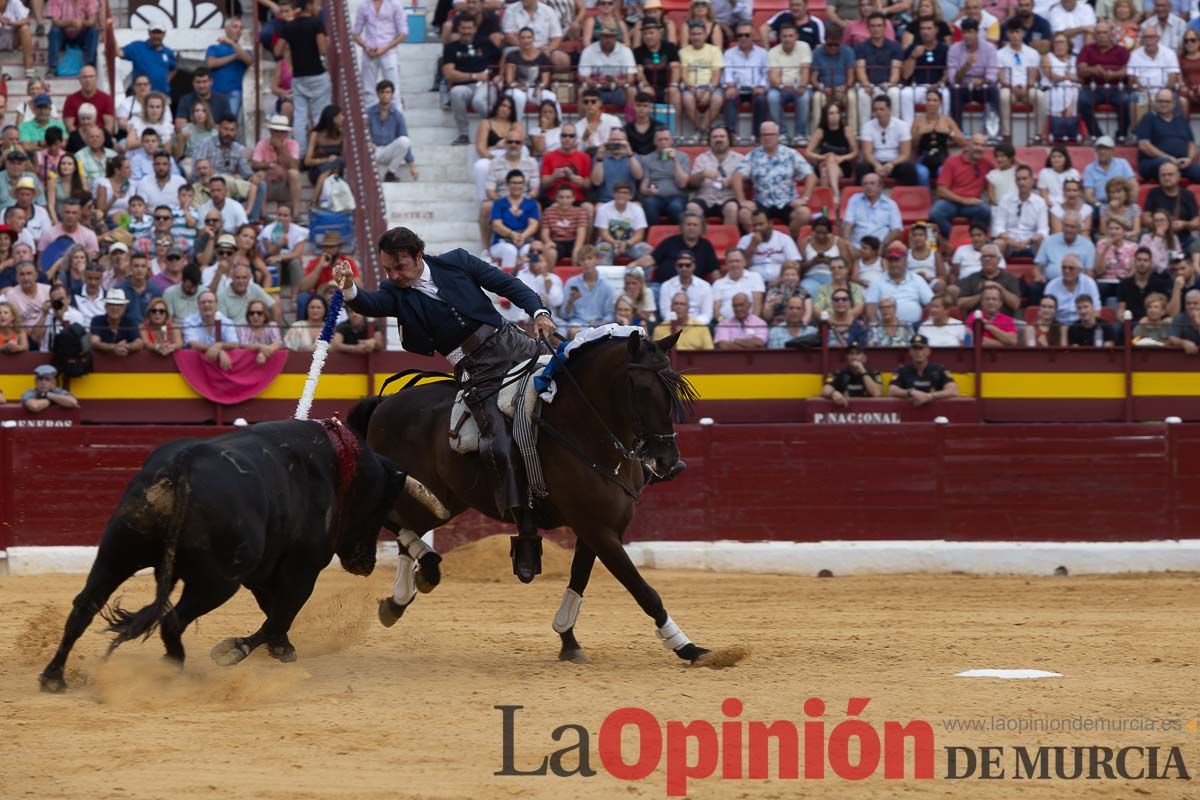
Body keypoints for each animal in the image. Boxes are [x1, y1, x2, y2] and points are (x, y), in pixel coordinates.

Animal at [38, 419, 408, 695]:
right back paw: (173, 670)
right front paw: (239, 650)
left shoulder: (262, 572)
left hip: (119, 552)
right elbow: (280, 614)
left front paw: (281, 647)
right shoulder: (303, 568)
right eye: (379, 509)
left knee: (85, 605)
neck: (335, 467)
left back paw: (53, 677)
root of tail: (182, 464)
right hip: (216, 583)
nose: (366, 562)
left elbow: (274, 610)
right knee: (172, 621)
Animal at [350, 328, 739, 666]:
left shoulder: (598, 529)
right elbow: (642, 589)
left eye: (674, 388)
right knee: (390, 521)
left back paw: (402, 596)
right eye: (641, 387)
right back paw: (423, 571)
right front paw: (688, 647)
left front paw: (568, 640)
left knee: (409, 529)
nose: (669, 462)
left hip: (445, 500)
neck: (583, 429)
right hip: (415, 490)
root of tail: (385, 402)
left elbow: (579, 578)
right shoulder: (598, 530)